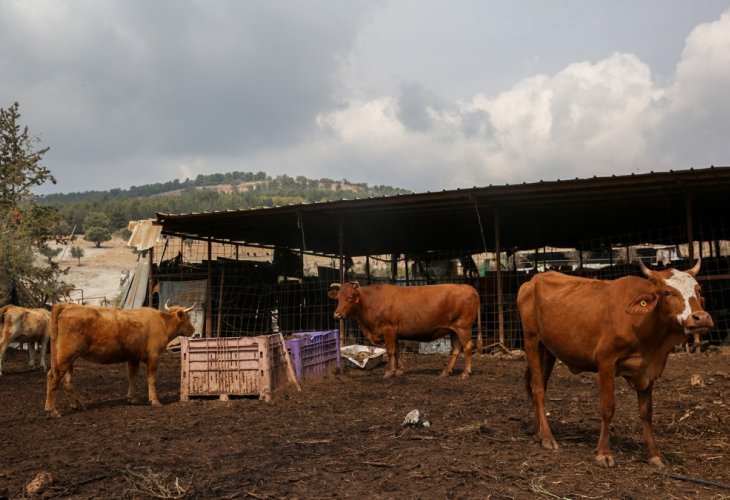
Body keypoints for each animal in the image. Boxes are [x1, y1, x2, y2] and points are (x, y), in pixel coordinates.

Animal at [45, 300, 196, 418]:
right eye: (188, 317)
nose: (194, 331)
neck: (163, 322)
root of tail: (66, 305)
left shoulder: (133, 357)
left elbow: (133, 377)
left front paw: (132, 398)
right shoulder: (154, 356)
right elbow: (151, 379)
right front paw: (155, 401)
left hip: (68, 357)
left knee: (66, 381)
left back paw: (78, 405)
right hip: (66, 355)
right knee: (53, 377)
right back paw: (52, 410)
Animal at [328, 282, 478, 378]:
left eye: (350, 297)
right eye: (338, 298)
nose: (337, 314)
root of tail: (469, 287)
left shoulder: (389, 328)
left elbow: (390, 351)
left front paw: (389, 372)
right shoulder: (395, 332)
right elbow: (397, 351)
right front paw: (399, 370)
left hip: (463, 327)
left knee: (467, 346)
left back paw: (466, 373)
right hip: (454, 330)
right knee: (456, 350)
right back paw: (446, 372)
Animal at [516, 260, 712, 466]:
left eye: (698, 289)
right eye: (666, 292)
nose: (701, 317)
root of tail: (533, 280)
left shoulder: (648, 370)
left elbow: (646, 413)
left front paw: (654, 454)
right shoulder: (606, 362)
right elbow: (607, 408)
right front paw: (603, 452)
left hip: (548, 349)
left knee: (540, 385)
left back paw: (537, 429)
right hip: (531, 340)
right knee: (538, 389)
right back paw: (547, 437)